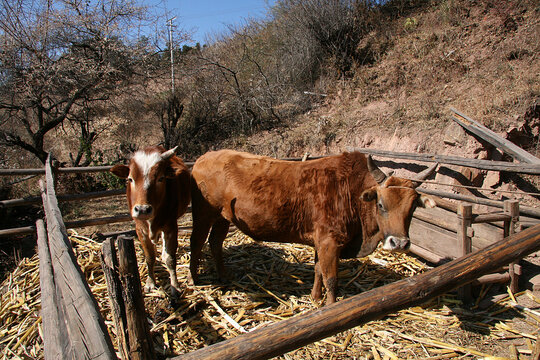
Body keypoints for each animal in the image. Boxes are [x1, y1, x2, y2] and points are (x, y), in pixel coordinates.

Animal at [110, 145, 191, 300]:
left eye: (161, 178)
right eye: (130, 179)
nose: (142, 209)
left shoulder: (171, 227)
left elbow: (169, 258)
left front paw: (175, 286)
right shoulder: (140, 230)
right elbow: (149, 257)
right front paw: (150, 282)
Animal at [188, 149, 436, 304]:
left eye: (413, 208)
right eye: (381, 204)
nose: (400, 243)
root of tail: (204, 158)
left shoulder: (322, 241)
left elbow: (318, 270)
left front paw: (315, 298)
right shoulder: (330, 241)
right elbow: (331, 278)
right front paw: (331, 308)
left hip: (223, 217)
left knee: (215, 243)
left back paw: (224, 276)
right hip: (203, 213)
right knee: (197, 242)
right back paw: (194, 279)